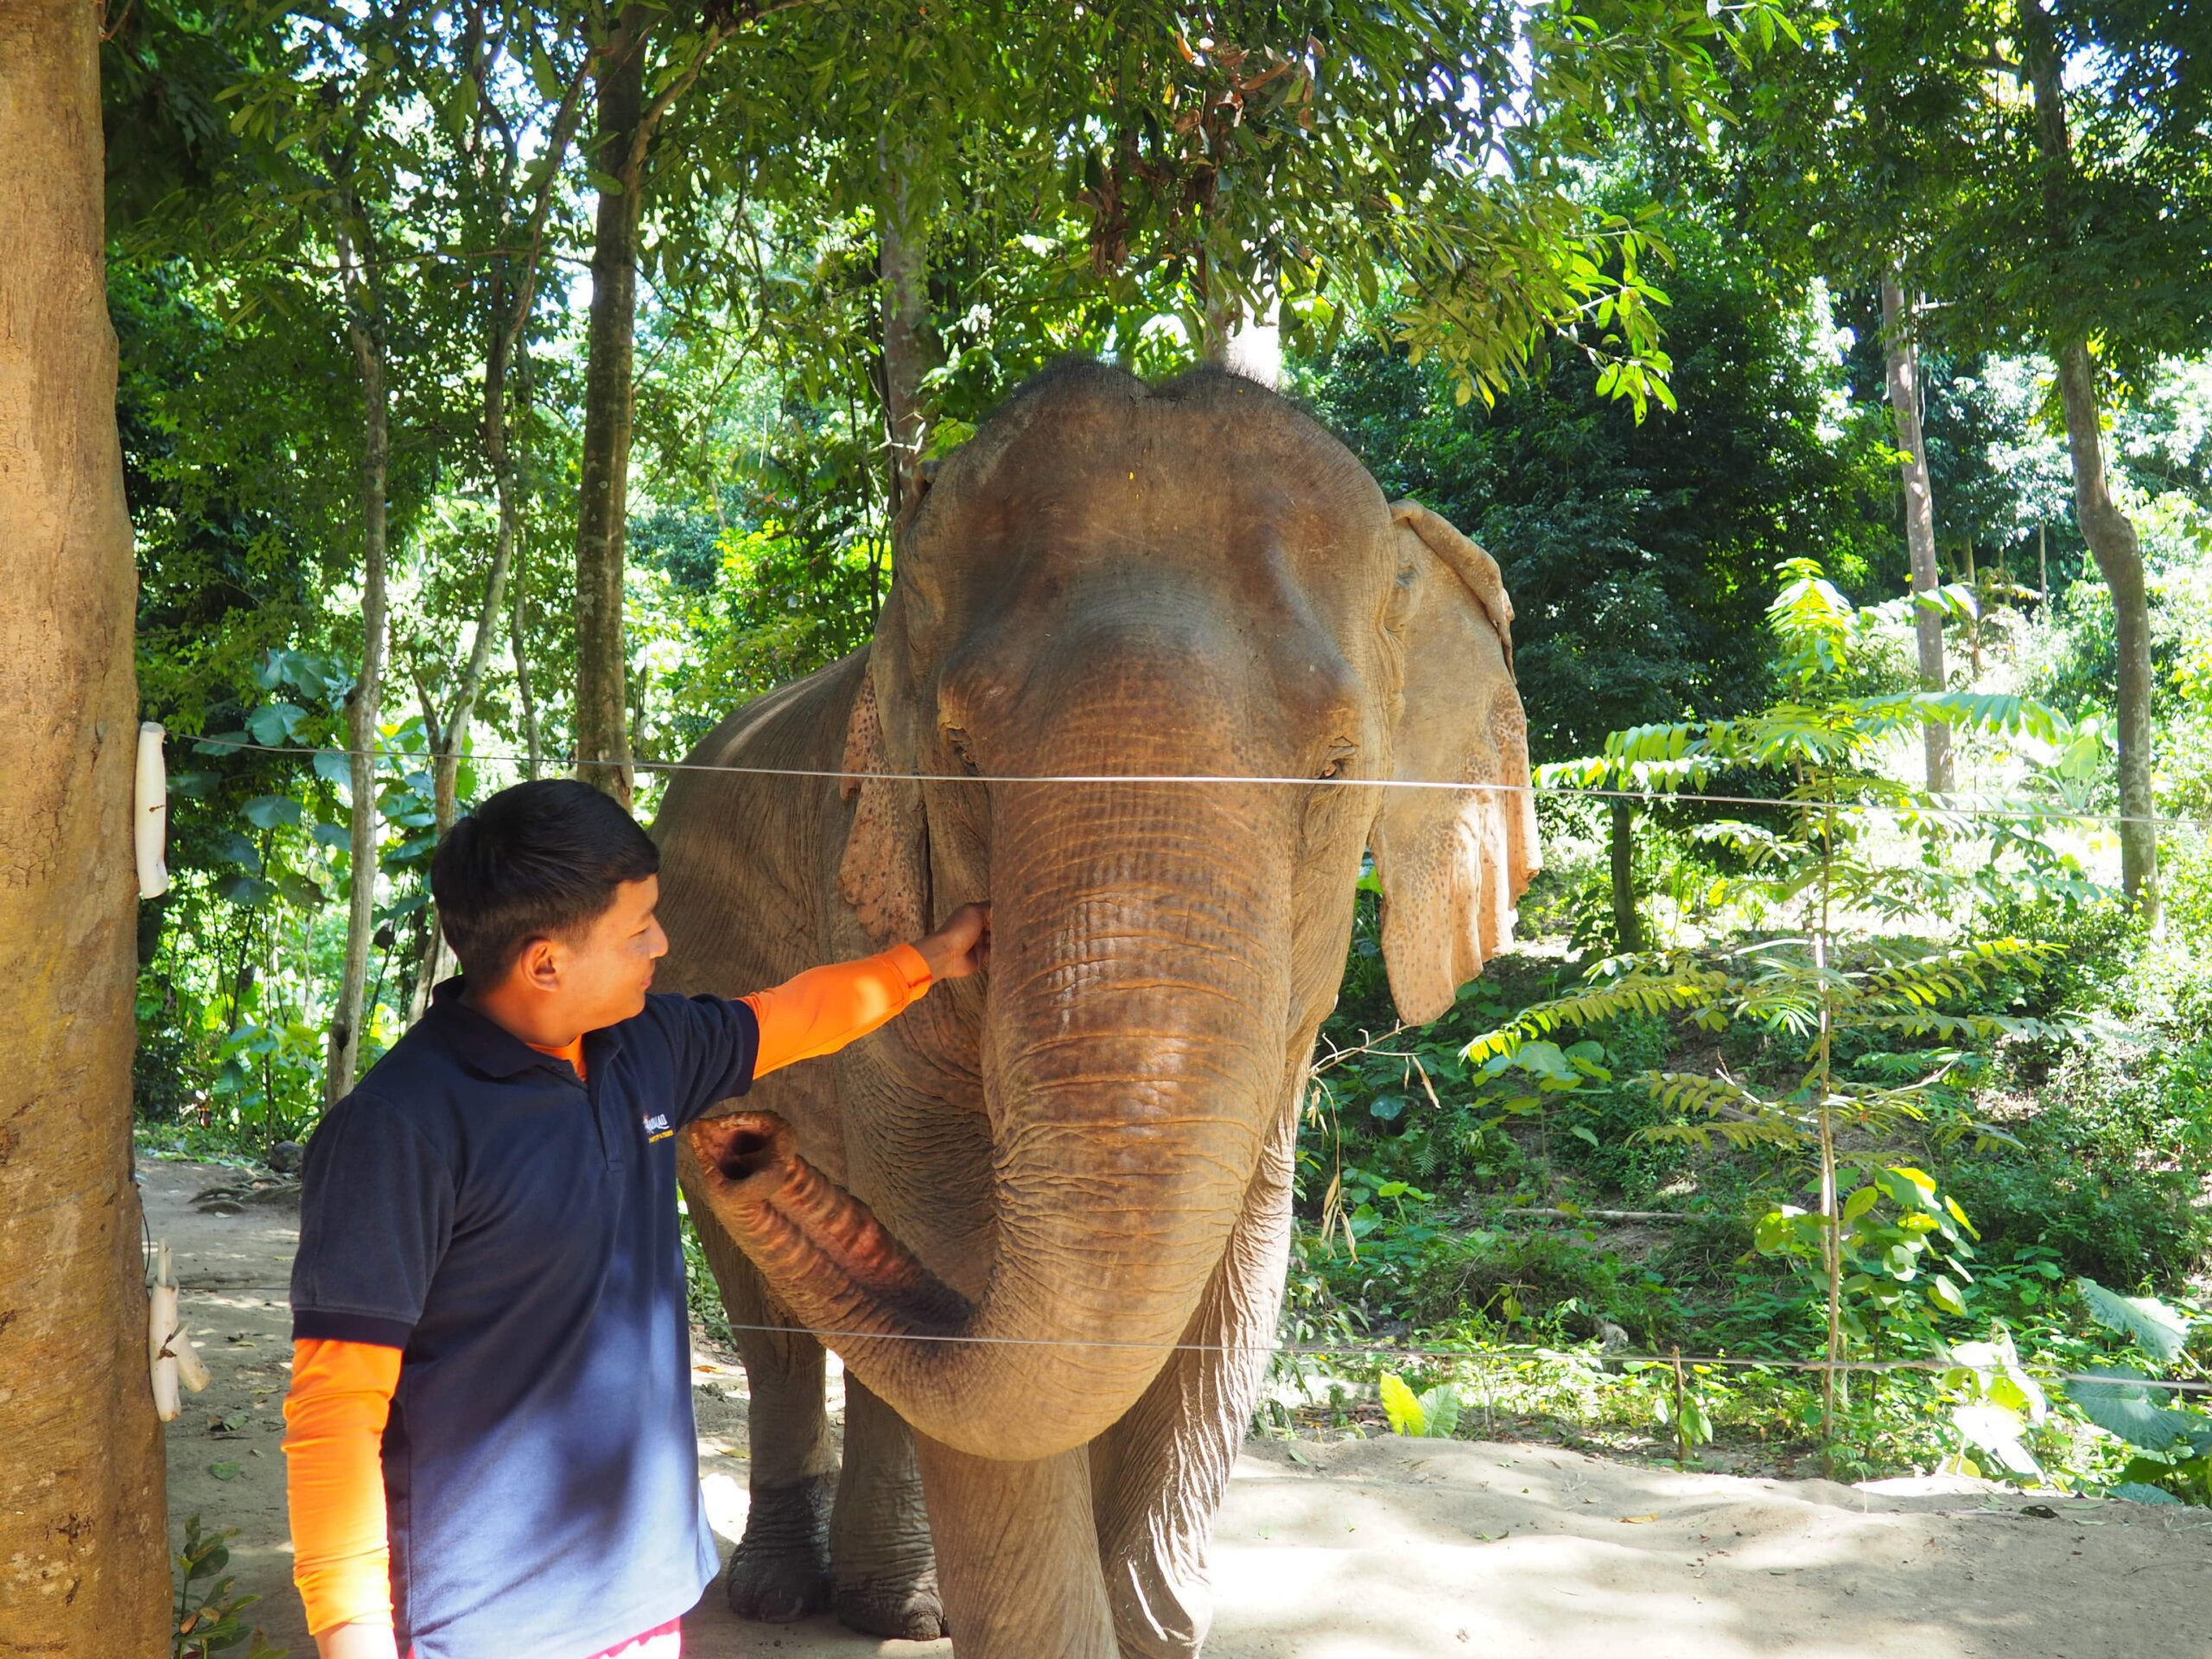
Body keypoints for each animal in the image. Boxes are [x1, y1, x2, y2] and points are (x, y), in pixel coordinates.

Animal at [645, 358, 1530, 1654]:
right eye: (962, 754)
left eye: (1334, 767)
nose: (748, 1144)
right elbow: (963, 1238)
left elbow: (1236, 1278)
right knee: (778, 1327)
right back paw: (781, 1595)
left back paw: (901, 1608)